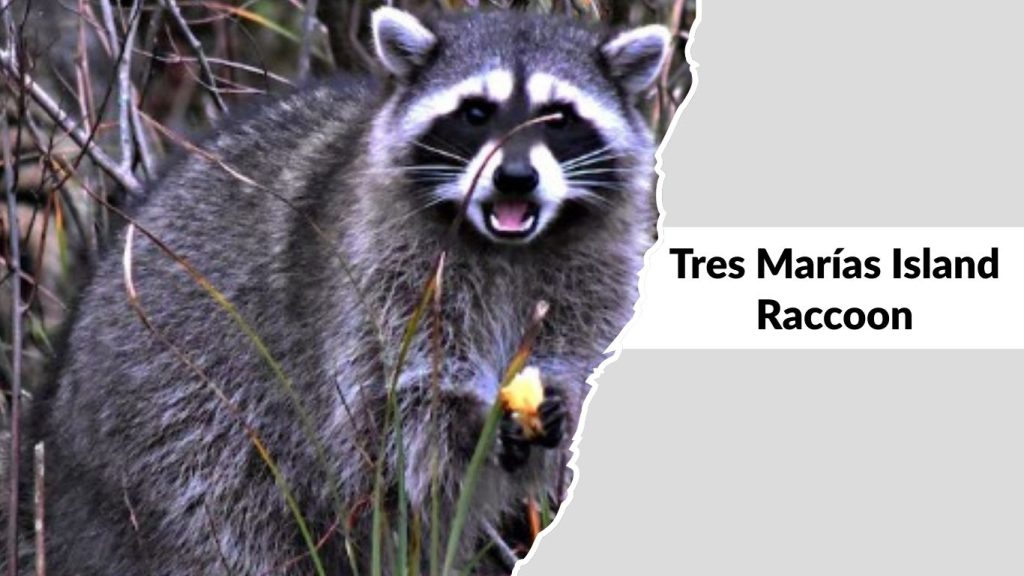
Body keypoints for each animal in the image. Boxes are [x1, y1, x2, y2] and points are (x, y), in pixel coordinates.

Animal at [15, 7, 669, 575]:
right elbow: (396, 398)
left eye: (559, 118)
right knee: (227, 526)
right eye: (476, 113)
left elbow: (584, 354)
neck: (509, 248)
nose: (515, 178)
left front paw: (562, 395)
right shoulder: (377, 269)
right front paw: (474, 419)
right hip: (183, 422)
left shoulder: (597, 263)